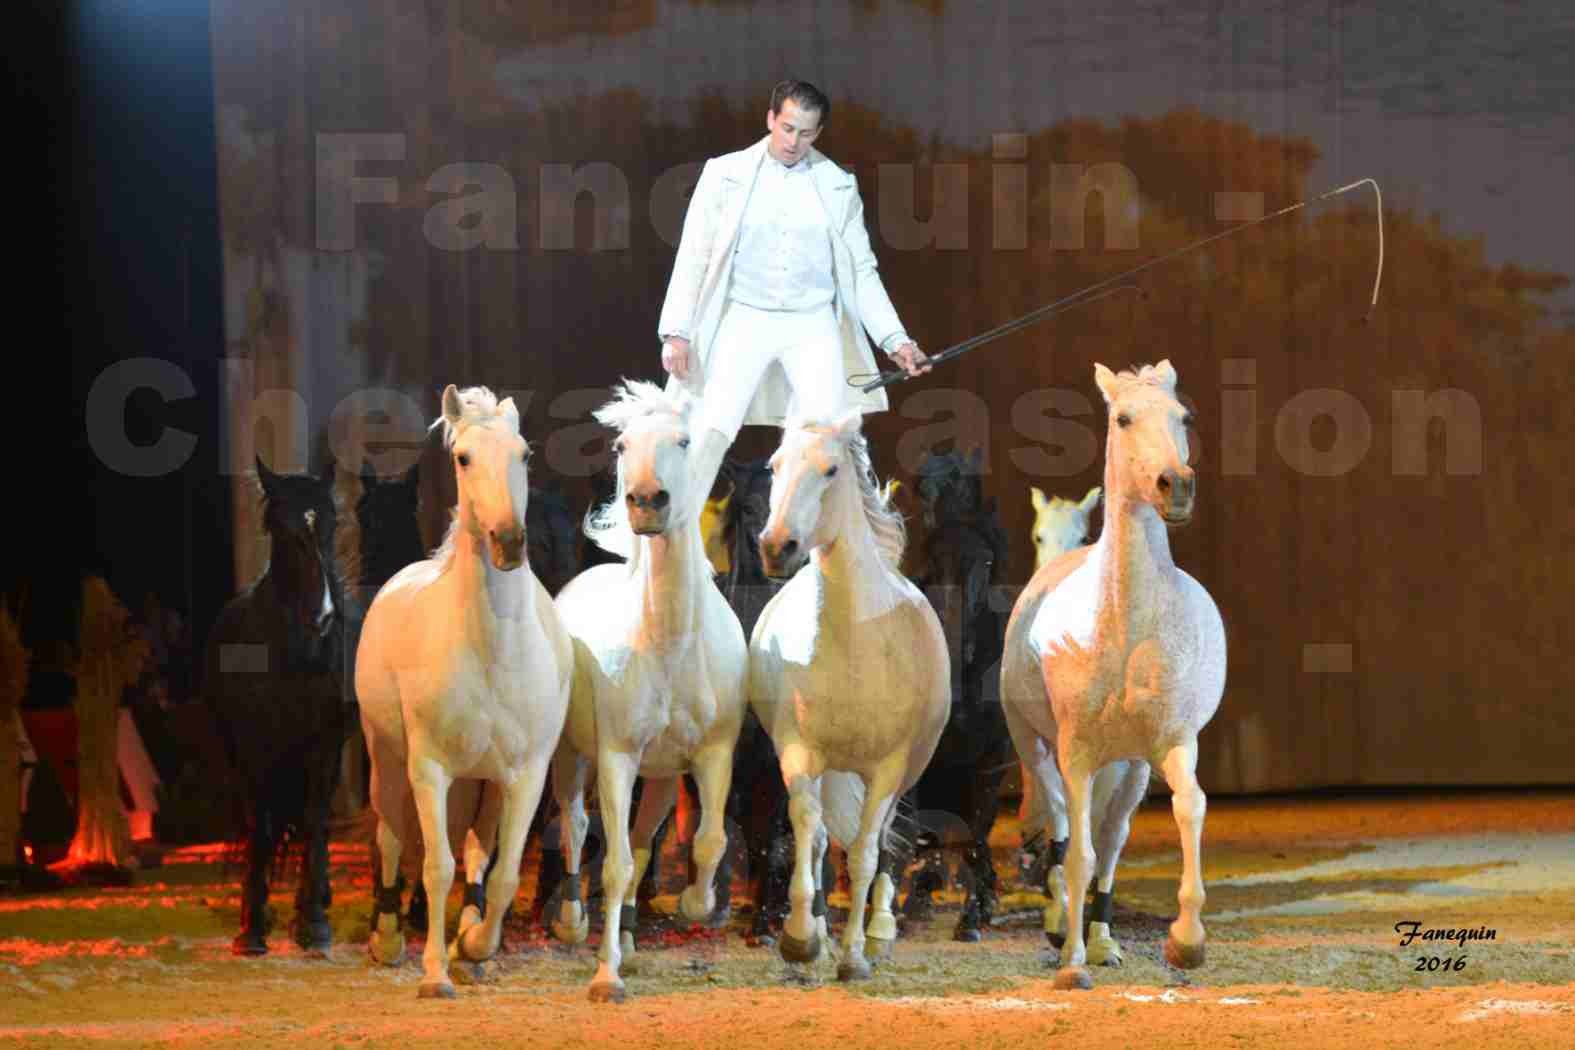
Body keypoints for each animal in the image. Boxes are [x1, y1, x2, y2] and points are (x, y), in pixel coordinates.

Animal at [201, 459, 359, 963]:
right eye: (278, 527)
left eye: (330, 522)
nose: (322, 615)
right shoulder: (254, 749)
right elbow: (262, 823)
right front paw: (251, 928)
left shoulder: (325, 745)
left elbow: (314, 819)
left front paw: (314, 923)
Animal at [359, 385, 579, 1001]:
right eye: (463, 458)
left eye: (525, 455)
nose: (508, 542)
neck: (493, 654)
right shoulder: (429, 769)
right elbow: (437, 866)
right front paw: (435, 971)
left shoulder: (525, 776)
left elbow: (501, 874)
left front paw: (474, 945)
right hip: (387, 762)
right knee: (391, 837)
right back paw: (388, 937)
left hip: (484, 785)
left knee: (479, 852)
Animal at [551, 379, 746, 1001]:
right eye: (621, 446)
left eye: (683, 441)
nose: (646, 502)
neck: (670, 646)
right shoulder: (617, 756)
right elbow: (612, 864)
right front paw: (605, 976)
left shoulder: (713, 754)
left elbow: (707, 841)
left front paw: (694, 904)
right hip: (573, 757)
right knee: (577, 827)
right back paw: (573, 923)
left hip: (659, 778)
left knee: (639, 840)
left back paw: (634, 939)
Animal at [749, 412, 945, 988]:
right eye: (775, 465)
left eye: (831, 469)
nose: (777, 546)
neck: (852, 645)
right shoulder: (800, 754)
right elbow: (808, 834)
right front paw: (801, 939)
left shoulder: (886, 769)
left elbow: (863, 854)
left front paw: (856, 955)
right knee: (821, 840)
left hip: (902, 772)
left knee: (882, 842)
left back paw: (878, 932)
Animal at [1001, 357, 1222, 988]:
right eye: (1122, 418)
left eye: (1183, 417)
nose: (1177, 485)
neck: (1126, 624)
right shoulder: (1074, 752)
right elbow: (1076, 852)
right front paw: (1072, 963)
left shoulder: (1171, 743)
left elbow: (1188, 809)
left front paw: (1185, 941)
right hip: (1037, 747)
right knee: (1060, 825)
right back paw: (1064, 927)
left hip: (1129, 767)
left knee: (1112, 835)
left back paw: (1101, 937)